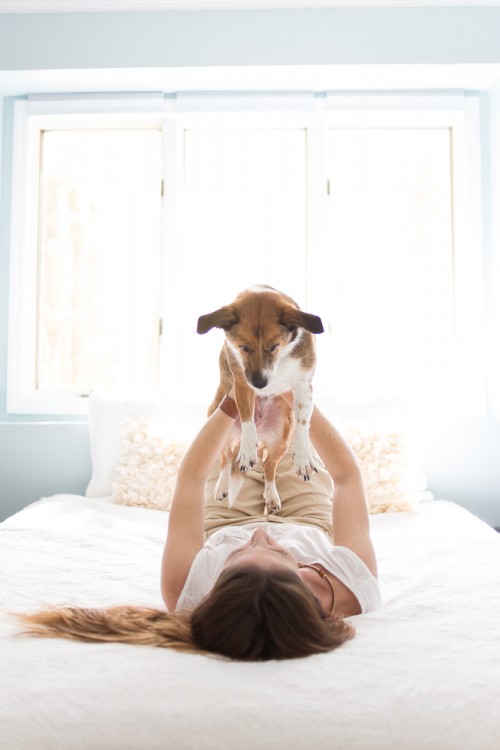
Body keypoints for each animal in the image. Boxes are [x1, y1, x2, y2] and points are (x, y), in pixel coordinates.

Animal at [196, 284, 324, 516]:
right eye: (243, 347)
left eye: (274, 346)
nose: (260, 383)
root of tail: (263, 435)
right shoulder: (242, 385)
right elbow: (248, 419)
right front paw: (247, 450)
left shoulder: (303, 387)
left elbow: (303, 424)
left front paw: (303, 456)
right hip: (219, 428)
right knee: (226, 459)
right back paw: (222, 485)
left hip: (281, 439)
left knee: (269, 467)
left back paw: (271, 495)